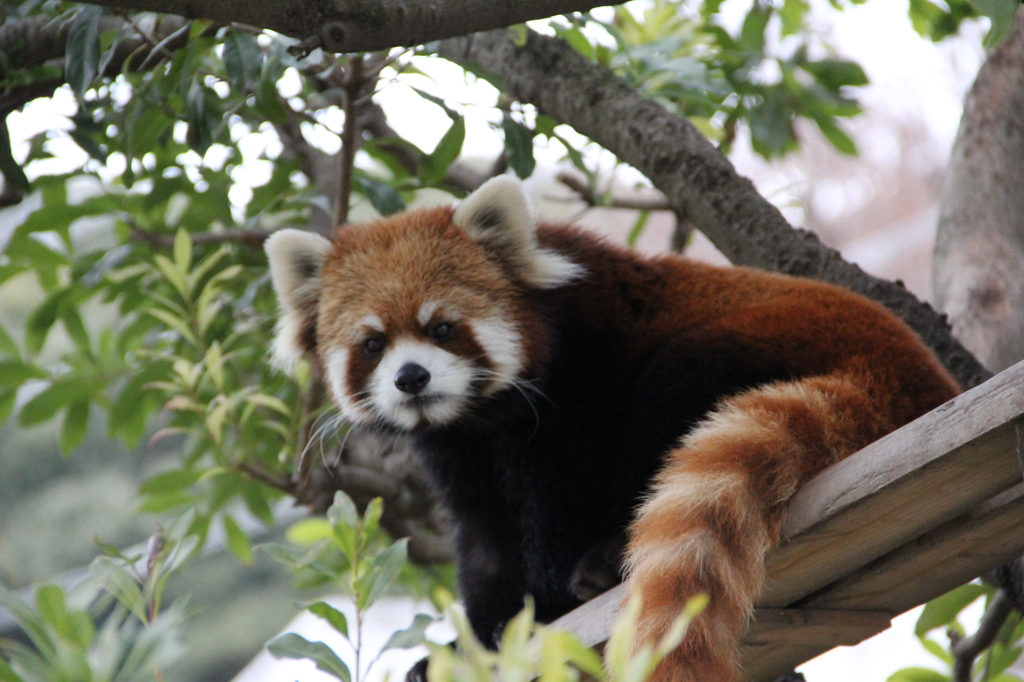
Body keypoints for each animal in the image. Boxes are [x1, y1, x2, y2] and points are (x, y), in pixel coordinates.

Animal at [264, 176, 958, 679]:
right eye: (373, 343)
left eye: (441, 328)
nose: (412, 378)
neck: (484, 419)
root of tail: (913, 381)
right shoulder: (458, 449)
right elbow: (485, 541)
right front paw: (478, 640)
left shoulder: (574, 390)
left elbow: (558, 502)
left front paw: (544, 609)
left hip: (752, 344)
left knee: (670, 393)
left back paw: (601, 565)